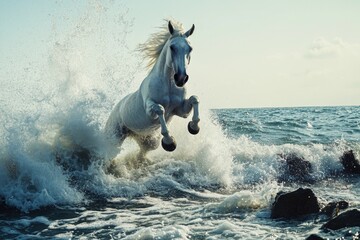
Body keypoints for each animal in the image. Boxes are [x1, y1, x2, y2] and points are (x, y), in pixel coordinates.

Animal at [104, 20, 200, 159]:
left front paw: (193, 127)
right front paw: (169, 142)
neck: (168, 86)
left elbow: (194, 99)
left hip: (146, 139)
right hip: (114, 137)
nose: (181, 78)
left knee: (143, 151)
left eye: (190, 48)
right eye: (172, 47)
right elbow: (160, 109)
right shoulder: (150, 109)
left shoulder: (181, 111)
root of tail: (117, 106)